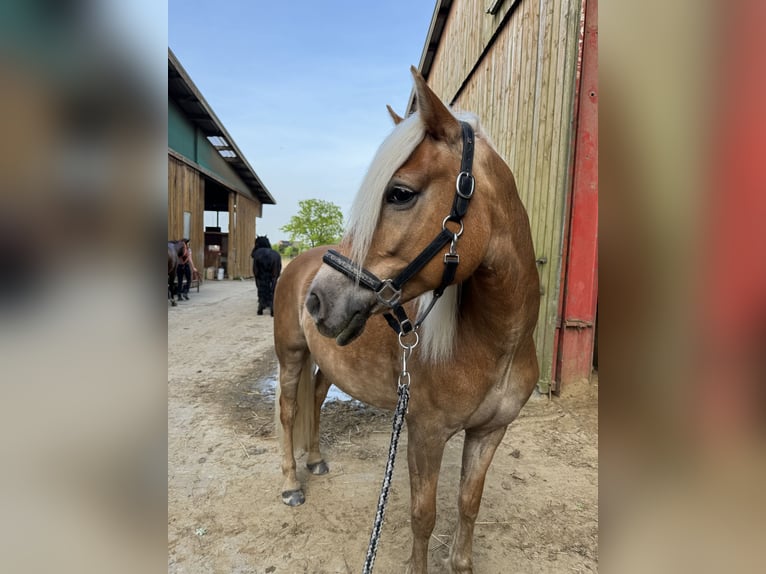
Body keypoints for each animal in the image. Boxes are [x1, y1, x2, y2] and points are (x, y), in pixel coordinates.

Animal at [274, 68, 540, 574]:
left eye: (399, 193)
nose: (318, 300)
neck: (496, 343)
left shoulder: (489, 433)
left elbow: (467, 505)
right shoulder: (425, 434)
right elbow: (423, 516)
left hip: (327, 361)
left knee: (315, 398)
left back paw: (315, 461)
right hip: (291, 355)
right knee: (288, 410)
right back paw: (292, 484)